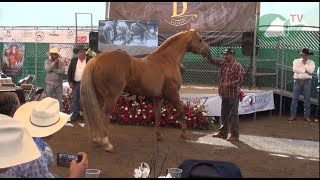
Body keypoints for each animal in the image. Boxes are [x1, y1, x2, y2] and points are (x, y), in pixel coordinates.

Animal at [80, 29, 210, 152]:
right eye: (200, 40)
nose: (208, 51)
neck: (167, 60)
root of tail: (96, 59)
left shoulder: (158, 97)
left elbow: (158, 115)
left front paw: (159, 136)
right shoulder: (173, 94)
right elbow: (181, 111)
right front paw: (183, 134)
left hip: (99, 97)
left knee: (96, 114)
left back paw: (97, 139)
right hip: (110, 98)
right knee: (103, 116)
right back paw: (107, 144)